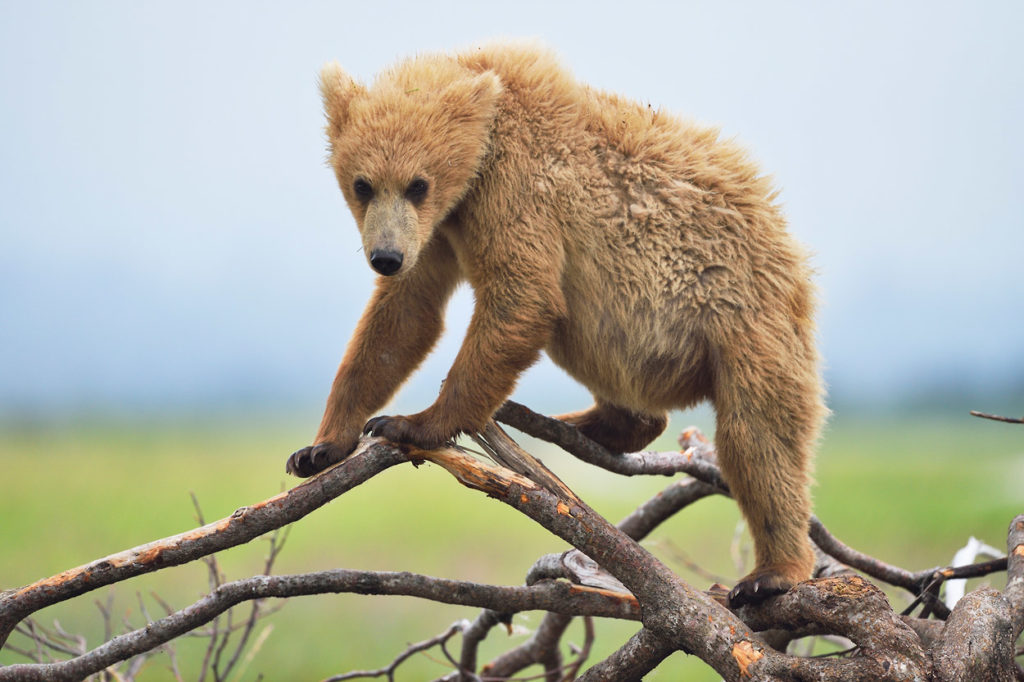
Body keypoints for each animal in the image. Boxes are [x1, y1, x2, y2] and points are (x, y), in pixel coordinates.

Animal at [284, 43, 827, 606]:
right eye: (363, 184)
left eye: (418, 183)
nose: (386, 257)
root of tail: (791, 253)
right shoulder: (437, 232)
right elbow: (402, 319)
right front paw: (320, 448)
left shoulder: (515, 194)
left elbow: (521, 296)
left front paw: (412, 421)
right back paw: (581, 423)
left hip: (741, 315)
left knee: (758, 439)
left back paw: (771, 572)